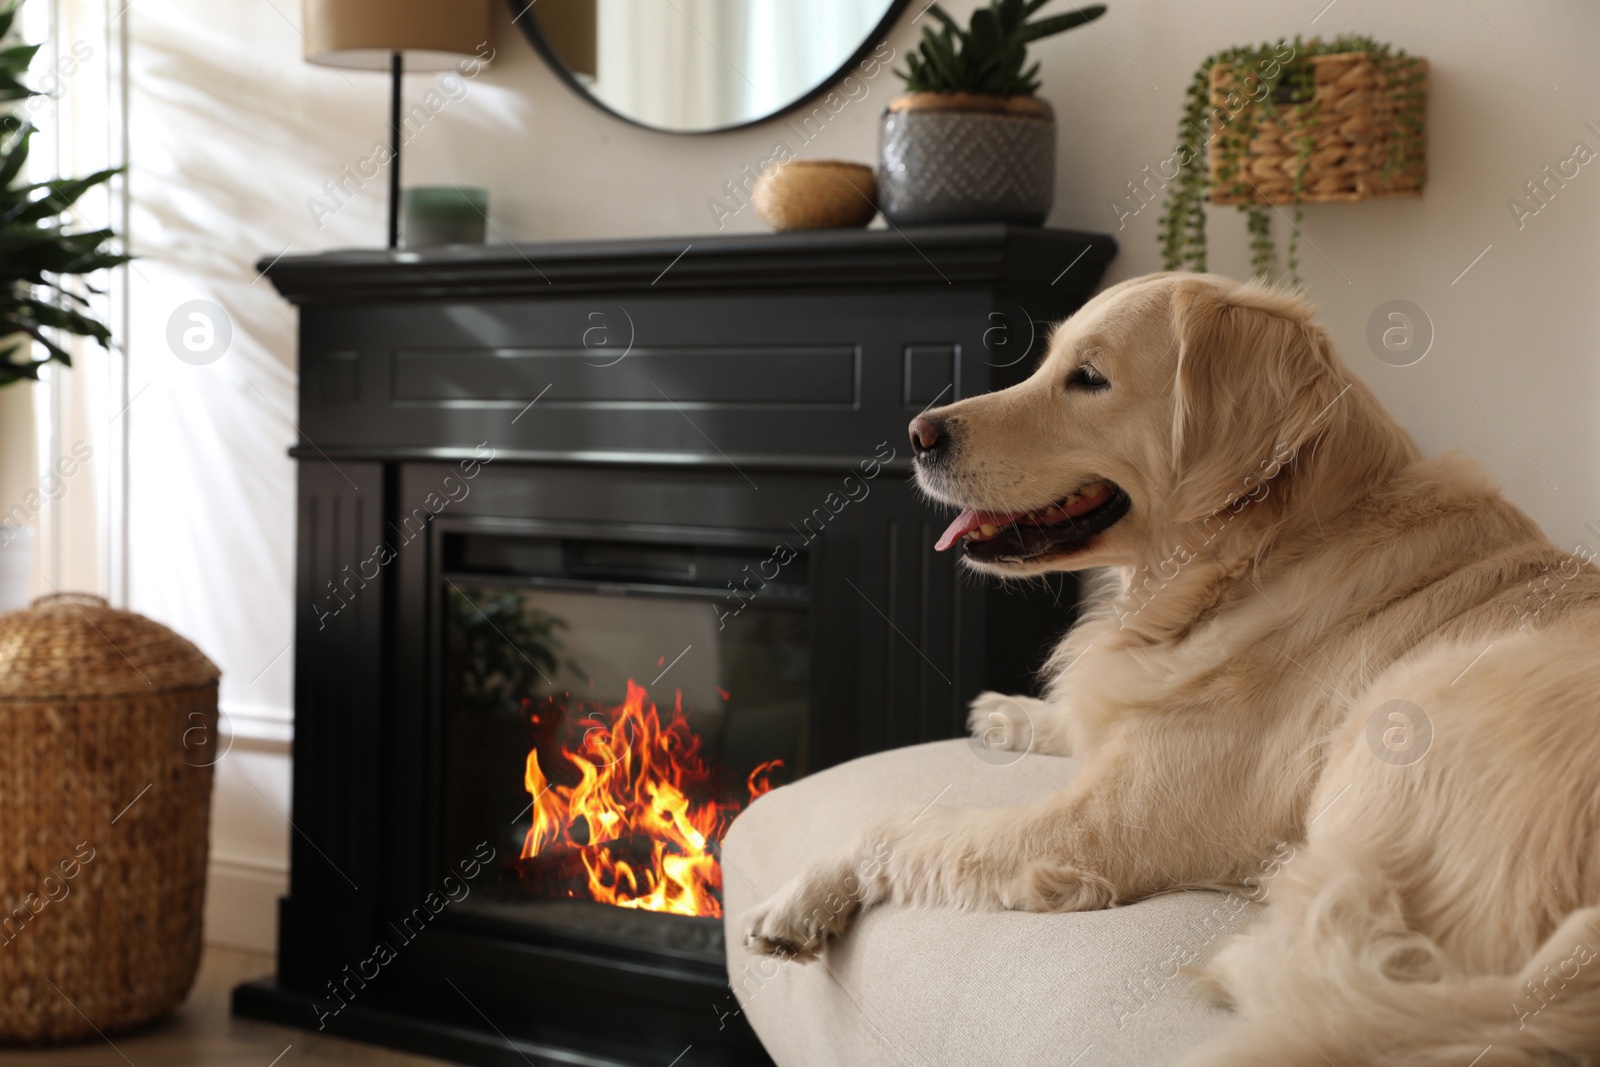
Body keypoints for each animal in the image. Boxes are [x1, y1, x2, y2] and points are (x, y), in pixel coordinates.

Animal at [742, 271, 1600, 1062]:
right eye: (1044, 363)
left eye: (1089, 377)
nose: (918, 432)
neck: (1258, 557)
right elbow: (1082, 710)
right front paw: (1011, 711)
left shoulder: (1098, 827)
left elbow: (900, 825)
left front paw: (797, 897)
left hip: (1400, 724)